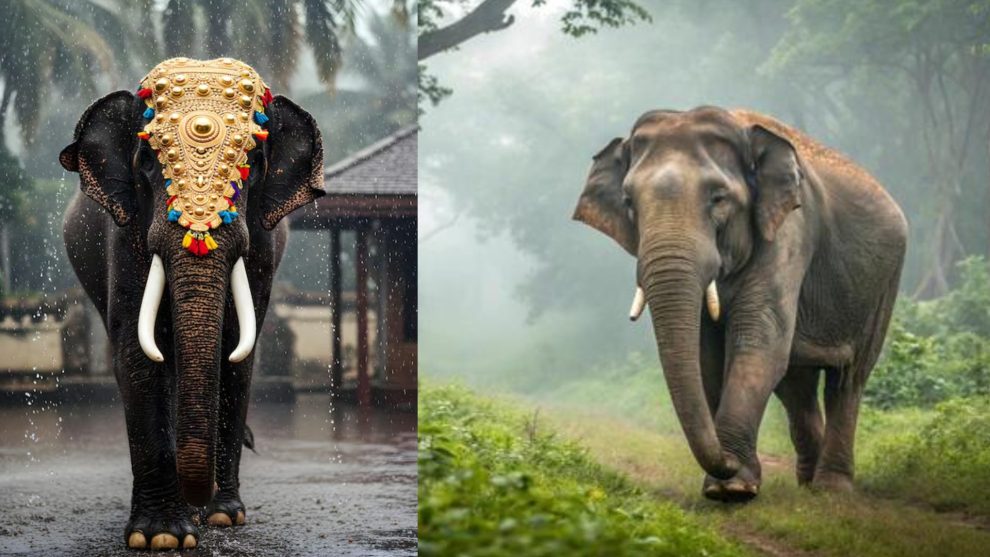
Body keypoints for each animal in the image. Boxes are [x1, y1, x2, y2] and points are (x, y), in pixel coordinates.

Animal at [59, 58, 324, 550]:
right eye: (146, 161)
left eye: (253, 163)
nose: (205, 500)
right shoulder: (125, 233)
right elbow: (137, 354)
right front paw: (160, 538)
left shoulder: (261, 248)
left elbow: (235, 351)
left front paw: (222, 517)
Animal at [573, 107, 907, 501]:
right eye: (628, 203)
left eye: (718, 198)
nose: (727, 463)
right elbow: (709, 356)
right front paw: (727, 484)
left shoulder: (790, 230)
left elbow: (758, 342)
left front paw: (733, 487)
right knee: (796, 384)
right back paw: (807, 483)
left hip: (883, 286)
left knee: (848, 379)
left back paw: (831, 490)